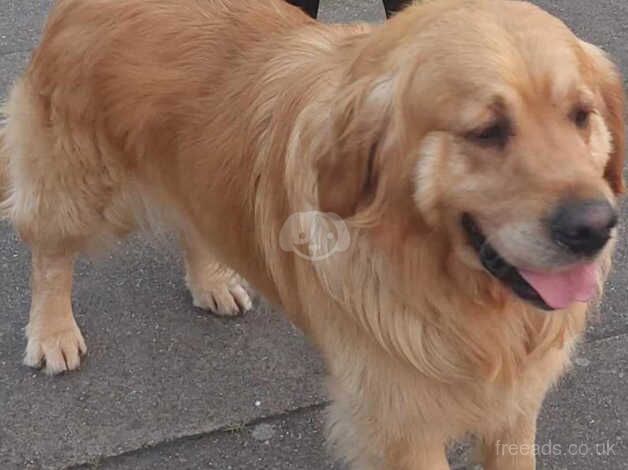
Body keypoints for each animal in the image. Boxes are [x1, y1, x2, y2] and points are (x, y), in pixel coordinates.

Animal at [0, 0, 624, 468]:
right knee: (50, 252)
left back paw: (211, 282)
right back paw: (53, 330)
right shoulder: (401, 423)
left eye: (581, 115)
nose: (597, 226)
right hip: (80, 184)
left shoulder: (515, 409)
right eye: (486, 131)